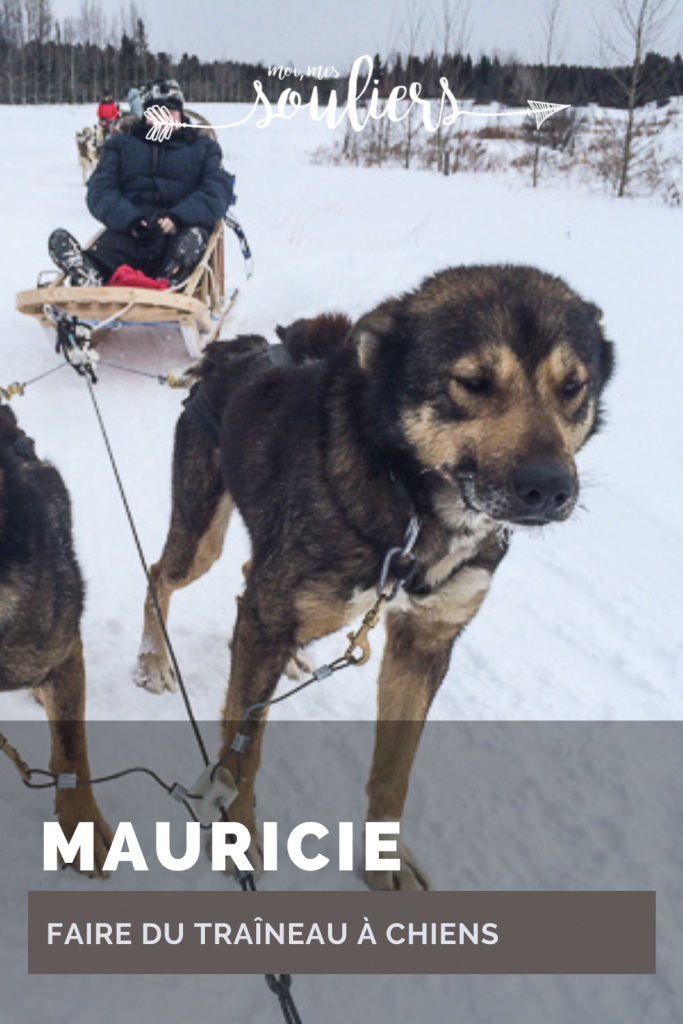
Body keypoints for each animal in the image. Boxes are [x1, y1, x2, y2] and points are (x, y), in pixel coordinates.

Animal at [136, 266, 618, 888]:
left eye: (573, 385)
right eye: (472, 382)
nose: (551, 487)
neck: (411, 507)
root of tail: (234, 350)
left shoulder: (425, 642)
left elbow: (395, 766)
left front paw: (382, 856)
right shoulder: (269, 616)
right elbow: (243, 752)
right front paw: (234, 833)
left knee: (248, 576)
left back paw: (292, 657)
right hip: (203, 541)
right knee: (160, 576)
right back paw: (153, 660)